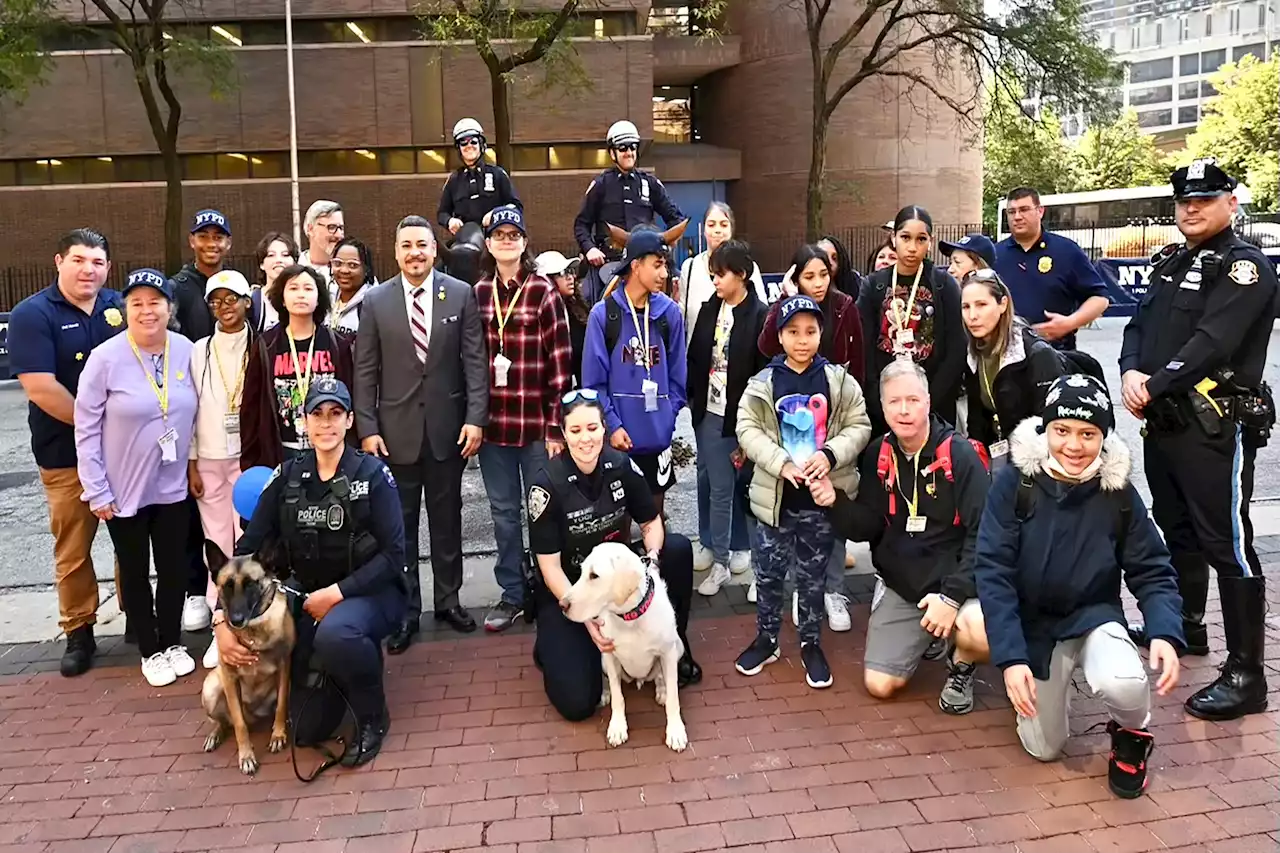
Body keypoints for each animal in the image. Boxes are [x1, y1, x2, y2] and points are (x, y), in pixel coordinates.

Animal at [200, 540, 295, 773]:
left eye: (251, 584)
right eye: (227, 586)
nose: (236, 620)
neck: (254, 631)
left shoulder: (284, 667)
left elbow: (281, 705)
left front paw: (278, 735)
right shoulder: (230, 679)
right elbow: (239, 725)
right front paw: (246, 756)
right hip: (211, 690)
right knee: (226, 722)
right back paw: (215, 734)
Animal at [563, 540, 691, 747]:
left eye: (594, 575)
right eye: (581, 572)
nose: (562, 605)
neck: (629, 617)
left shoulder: (668, 653)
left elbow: (674, 697)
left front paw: (675, 732)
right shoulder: (609, 654)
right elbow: (618, 696)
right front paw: (617, 727)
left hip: (678, 647)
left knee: (660, 677)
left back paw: (661, 689)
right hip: (602, 659)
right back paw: (604, 693)